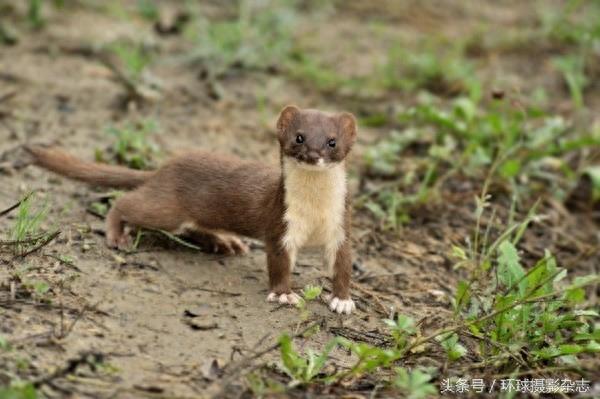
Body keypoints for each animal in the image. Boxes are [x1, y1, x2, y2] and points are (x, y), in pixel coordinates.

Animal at [24, 106, 356, 316]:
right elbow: (278, 263)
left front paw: (342, 301)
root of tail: (164, 168)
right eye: (299, 137)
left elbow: (342, 266)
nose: (312, 155)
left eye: (332, 141)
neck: (314, 212)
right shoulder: (280, 225)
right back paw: (117, 235)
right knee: (125, 203)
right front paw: (284, 294)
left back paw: (225, 242)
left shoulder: (341, 228)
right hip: (165, 209)